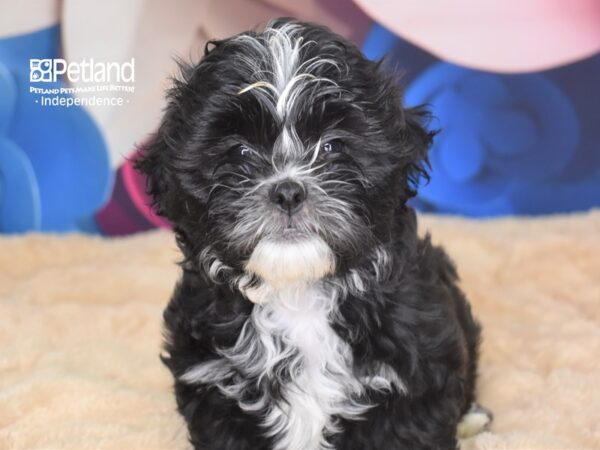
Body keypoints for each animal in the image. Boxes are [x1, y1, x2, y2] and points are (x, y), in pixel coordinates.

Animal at [137, 18, 488, 450]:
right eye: (239, 152)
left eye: (332, 146)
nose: (288, 191)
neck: (298, 294)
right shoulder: (214, 385)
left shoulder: (413, 384)